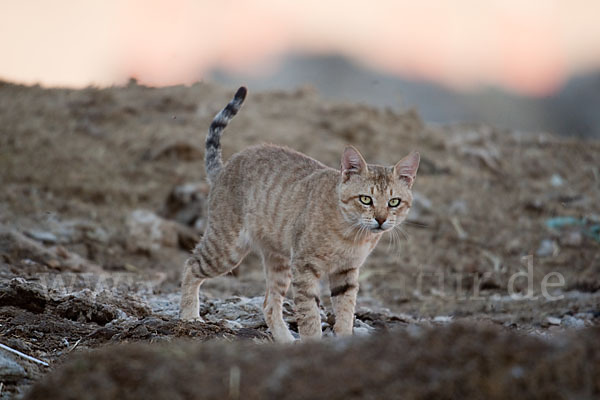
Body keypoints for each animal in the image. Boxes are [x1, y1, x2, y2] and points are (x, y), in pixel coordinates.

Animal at [180, 86, 420, 340]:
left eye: (394, 202)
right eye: (366, 199)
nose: (381, 220)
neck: (353, 235)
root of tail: (224, 168)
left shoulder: (346, 272)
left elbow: (346, 311)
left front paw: (344, 339)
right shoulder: (305, 268)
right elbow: (309, 315)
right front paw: (313, 341)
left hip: (279, 260)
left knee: (269, 304)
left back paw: (285, 340)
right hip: (227, 249)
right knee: (191, 265)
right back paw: (189, 315)